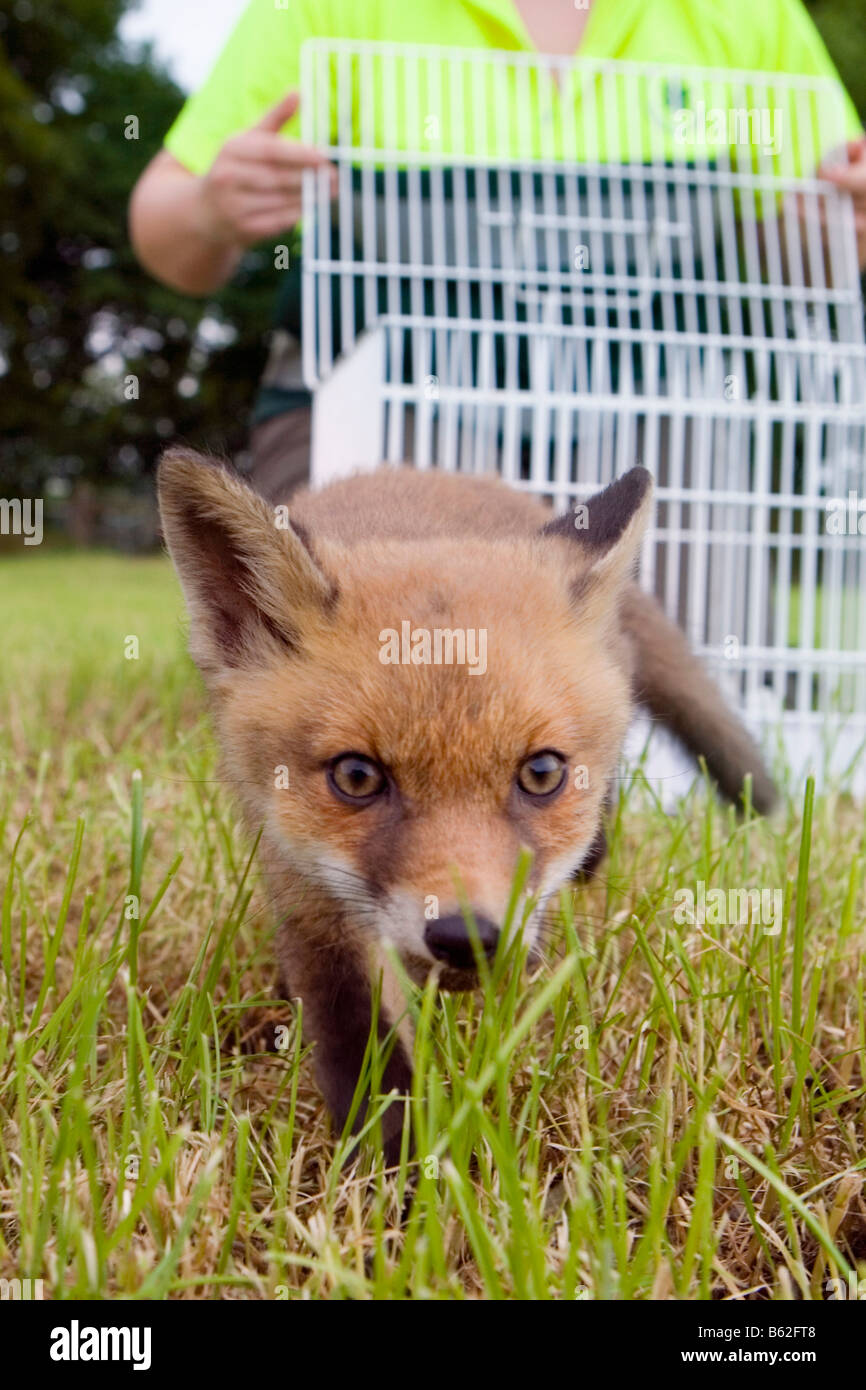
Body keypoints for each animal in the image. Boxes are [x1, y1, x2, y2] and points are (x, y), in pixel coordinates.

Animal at [157, 449, 776, 1162]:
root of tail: (450, 474)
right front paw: (397, 1167)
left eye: (541, 773)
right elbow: (358, 1043)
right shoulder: (308, 893)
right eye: (356, 777)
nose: (466, 938)